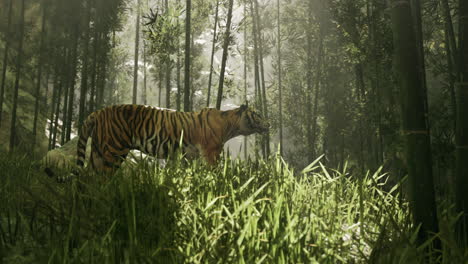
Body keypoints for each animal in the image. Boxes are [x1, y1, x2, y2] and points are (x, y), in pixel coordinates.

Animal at [46, 104, 270, 178]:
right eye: (257, 115)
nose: (269, 124)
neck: (230, 125)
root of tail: (98, 111)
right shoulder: (211, 153)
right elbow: (214, 172)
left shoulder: (189, 156)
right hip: (112, 151)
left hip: (98, 151)